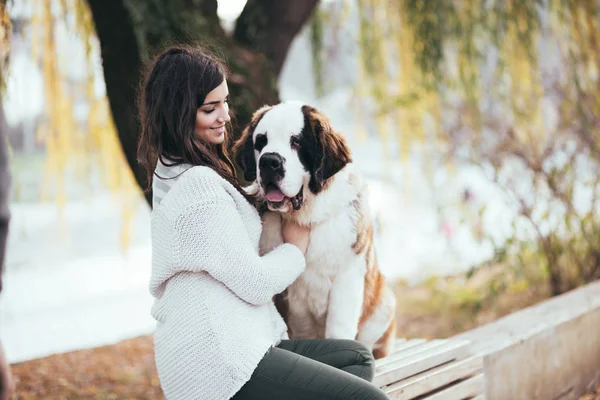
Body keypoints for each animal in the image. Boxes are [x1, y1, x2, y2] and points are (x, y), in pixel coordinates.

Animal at [232, 101, 396, 360]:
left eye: (296, 142)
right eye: (261, 142)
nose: (269, 161)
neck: (306, 216)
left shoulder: (347, 276)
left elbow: (339, 328)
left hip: (384, 304)